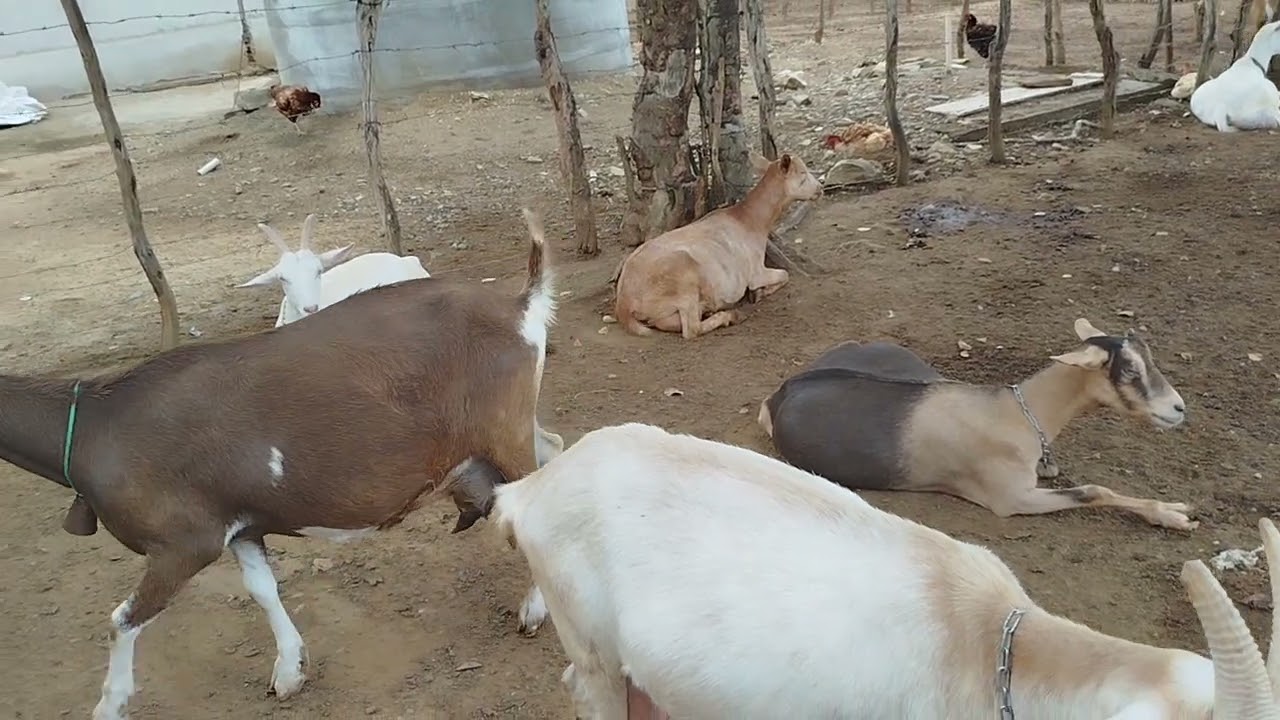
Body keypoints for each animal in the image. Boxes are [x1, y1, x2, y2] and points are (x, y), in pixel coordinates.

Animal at [612, 152, 822, 339]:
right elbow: (785, 274)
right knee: (691, 329)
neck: (750, 221)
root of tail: (624, 302)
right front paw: (759, 293)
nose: (820, 188)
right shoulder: (755, 272)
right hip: (683, 280)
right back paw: (730, 315)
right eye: (802, 173)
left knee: (666, 323)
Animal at [757, 318, 1195, 530]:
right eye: (1130, 369)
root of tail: (783, 392)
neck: (1015, 413)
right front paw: (1173, 516)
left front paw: (1174, 508)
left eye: (1148, 358)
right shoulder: (1013, 500)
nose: (1177, 408)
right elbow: (1092, 490)